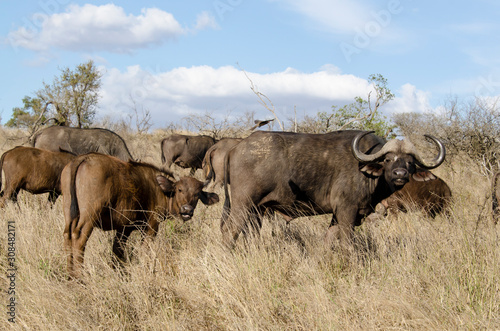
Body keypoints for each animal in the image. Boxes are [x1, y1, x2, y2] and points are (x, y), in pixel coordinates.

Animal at [60, 154, 219, 278]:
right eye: (179, 189)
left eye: (197, 194)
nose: (187, 210)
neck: (162, 190)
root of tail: (83, 158)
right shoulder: (151, 227)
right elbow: (145, 251)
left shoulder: (124, 229)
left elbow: (117, 252)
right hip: (89, 217)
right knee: (79, 238)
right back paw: (80, 277)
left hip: (69, 214)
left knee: (67, 236)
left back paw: (70, 275)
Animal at [222, 131, 446, 248]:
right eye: (388, 159)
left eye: (410, 162)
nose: (400, 174)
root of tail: (237, 147)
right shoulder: (347, 211)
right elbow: (347, 243)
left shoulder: (339, 215)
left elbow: (328, 239)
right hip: (242, 205)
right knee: (230, 230)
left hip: (257, 210)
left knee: (250, 232)